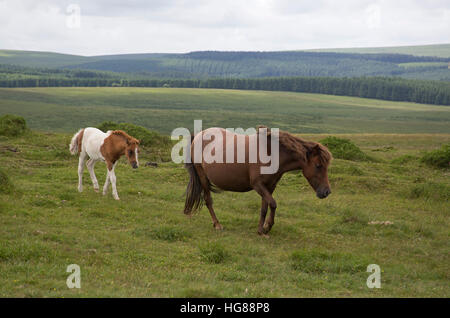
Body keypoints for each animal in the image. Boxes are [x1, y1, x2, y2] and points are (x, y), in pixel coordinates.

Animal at [184, 127, 334, 236]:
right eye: (318, 165)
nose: (326, 192)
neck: (271, 153)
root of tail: (199, 135)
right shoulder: (258, 185)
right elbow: (273, 204)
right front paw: (267, 227)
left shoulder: (269, 186)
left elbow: (264, 208)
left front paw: (260, 230)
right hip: (202, 177)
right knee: (208, 200)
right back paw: (217, 224)